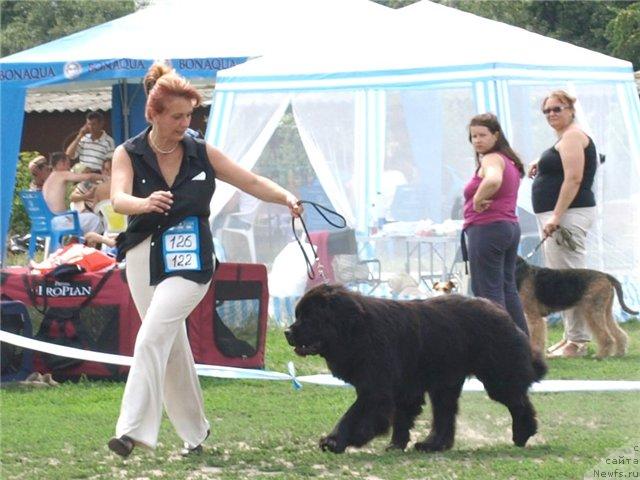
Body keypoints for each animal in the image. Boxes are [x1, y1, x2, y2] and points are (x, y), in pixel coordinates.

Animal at [284, 284, 544, 454]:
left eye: (309, 317)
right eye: (298, 315)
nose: (287, 332)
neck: (357, 330)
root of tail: (503, 312)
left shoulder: (376, 390)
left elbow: (354, 415)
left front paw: (336, 441)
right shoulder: (403, 389)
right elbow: (401, 417)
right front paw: (395, 445)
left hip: (497, 375)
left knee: (518, 402)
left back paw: (523, 433)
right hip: (445, 382)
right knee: (445, 415)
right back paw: (432, 445)